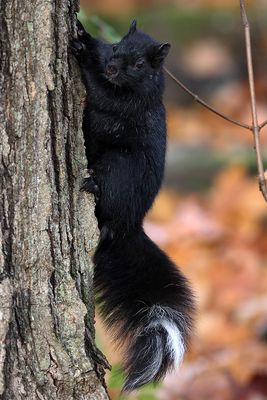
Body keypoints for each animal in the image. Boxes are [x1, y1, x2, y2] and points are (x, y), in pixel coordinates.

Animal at [71, 20, 195, 392]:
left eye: (140, 65)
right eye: (116, 47)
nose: (111, 66)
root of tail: (127, 226)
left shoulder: (129, 103)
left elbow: (102, 94)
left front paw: (84, 58)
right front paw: (84, 36)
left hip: (118, 167)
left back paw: (92, 185)